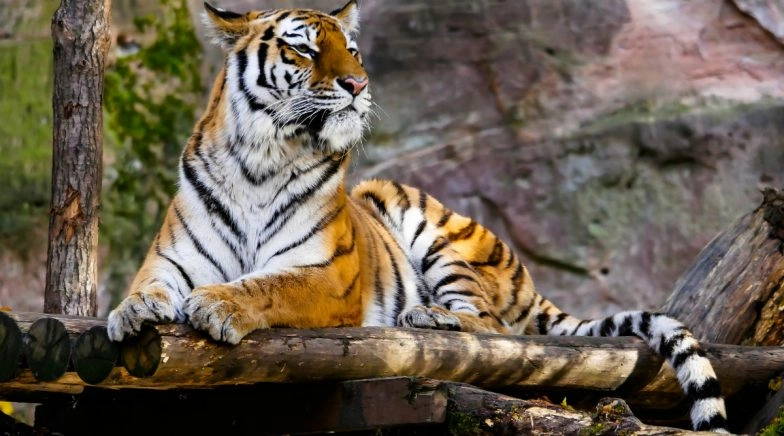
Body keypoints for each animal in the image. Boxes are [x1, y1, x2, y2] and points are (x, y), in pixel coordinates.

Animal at [106, 1, 728, 432]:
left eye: (352, 51)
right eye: (304, 50)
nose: (357, 84)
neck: (260, 160)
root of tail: (528, 280)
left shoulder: (328, 276)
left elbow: (267, 285)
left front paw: (218, 304)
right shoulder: (171, 259)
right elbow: (147, 286)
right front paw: (130, 313)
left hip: (428, 226)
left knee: (494, 328)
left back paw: (429, 317)